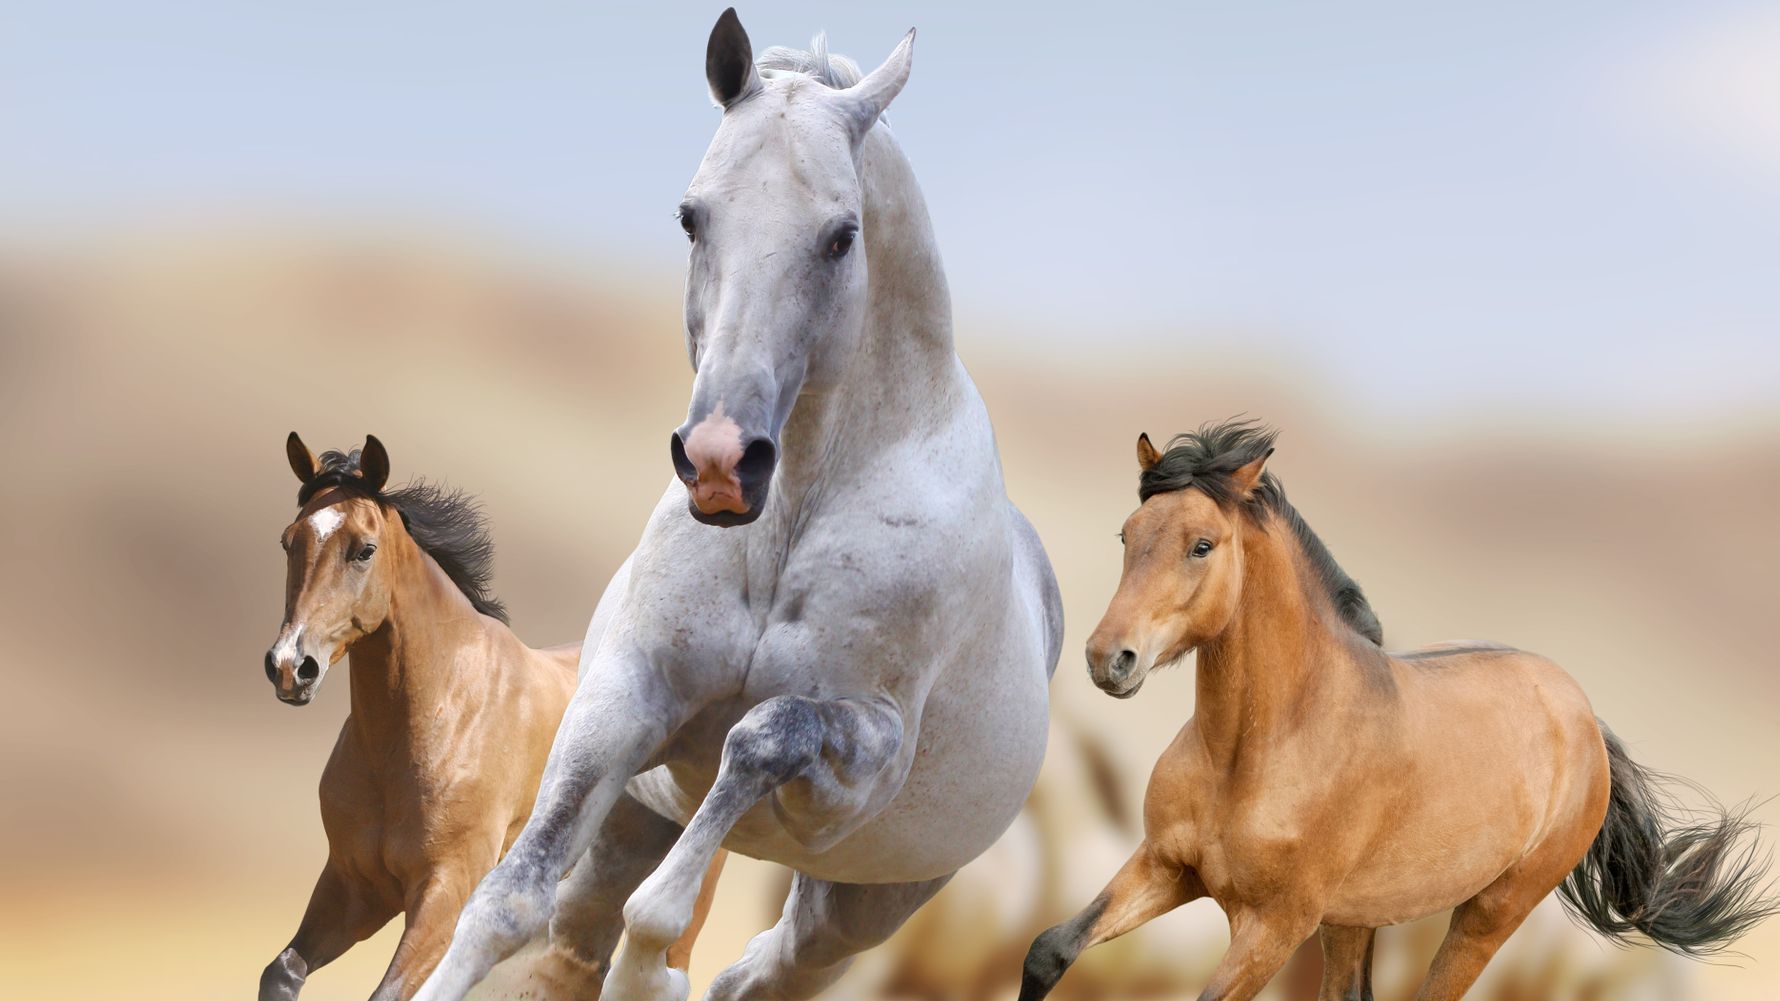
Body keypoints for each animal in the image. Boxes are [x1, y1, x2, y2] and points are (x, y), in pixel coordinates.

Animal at [258, 434, 722, 1001]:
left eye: (364, 549)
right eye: (289, 541)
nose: (290, 666)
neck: (438, 718)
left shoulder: (444, 897)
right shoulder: (354, 888)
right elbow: (282, 971)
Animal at [414, 10, 1061, 1001]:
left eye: (841, 235)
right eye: (692, 216)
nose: (722, 461)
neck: (788, 520)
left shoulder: (862, 756)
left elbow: (759, 738)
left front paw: (651, 963)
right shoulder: (624, 696)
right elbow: (506, 900)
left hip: (852, 909)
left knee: (758, 971)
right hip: (632, 824)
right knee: (573, 938)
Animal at [1019, 420, 1776, 1001]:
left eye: (1202, 545)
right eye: (1128, 535)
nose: (1108, 657)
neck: (1254, 750)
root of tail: (1584, 717)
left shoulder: (1274, 924)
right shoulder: (1167, 867)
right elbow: (1049, 948)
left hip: (1487, 914)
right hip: (1354, 919)